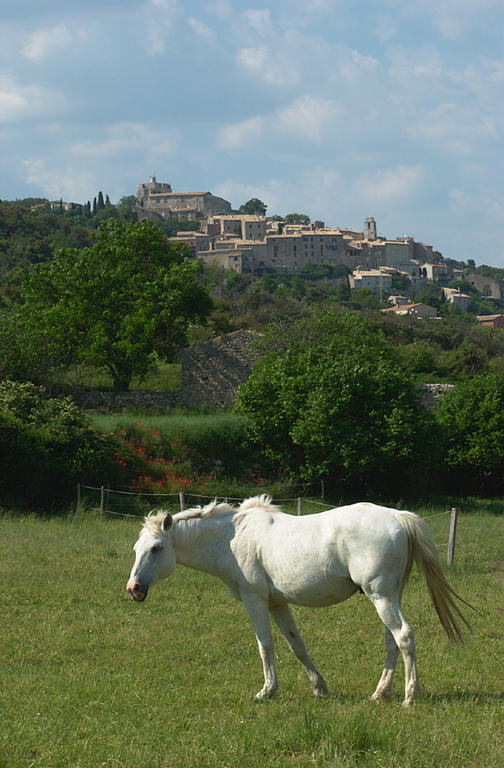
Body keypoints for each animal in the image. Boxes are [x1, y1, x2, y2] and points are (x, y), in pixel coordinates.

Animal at [126, 496, 472, 704]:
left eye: (157, 548)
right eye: (136, 549)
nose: (133, 588)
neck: (231, 538)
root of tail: (398, 517)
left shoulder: (255, 600)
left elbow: (265, 646)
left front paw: (267, 691)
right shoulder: (277, 603)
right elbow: (297, 646)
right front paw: (319, 687)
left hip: (382, 597)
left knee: (404, 637)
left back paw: (410, 696)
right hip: (389, 596)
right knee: (392, 643)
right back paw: (379, 693)